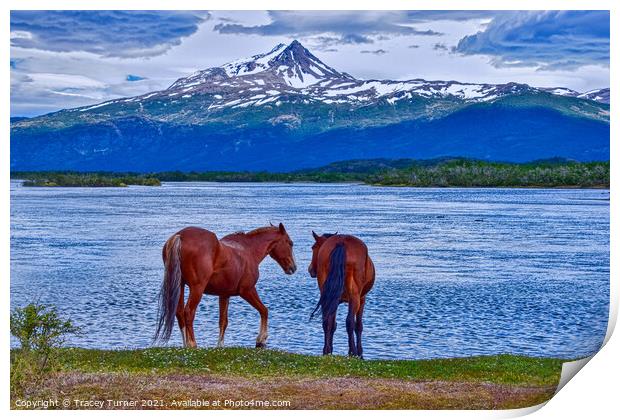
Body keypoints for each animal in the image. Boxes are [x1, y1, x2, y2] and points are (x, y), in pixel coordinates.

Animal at [154, 223, 296, 348]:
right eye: (290, 243)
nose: (293, 267)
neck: (248, 251)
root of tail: (180, 236)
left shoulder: (224, 294)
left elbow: (223, 321)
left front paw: (220, 345)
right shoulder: (247, 290)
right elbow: (264, 310)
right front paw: (261, 340)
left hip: (180, 285)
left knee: (179, 313)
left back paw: (185, 344)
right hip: (197, 288)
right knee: (188, 312)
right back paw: (192, 344)